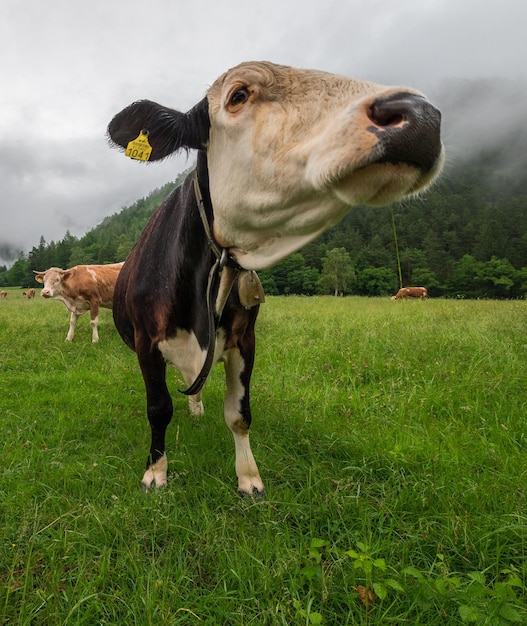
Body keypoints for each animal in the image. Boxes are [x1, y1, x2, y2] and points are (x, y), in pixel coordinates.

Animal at [108, 61, 446, 490]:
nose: (421, 116)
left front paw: (248, 478)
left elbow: (238, 413)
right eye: (238, 95)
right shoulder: (146, 343)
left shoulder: (245, 340)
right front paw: (156, 471)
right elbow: (158, 408)